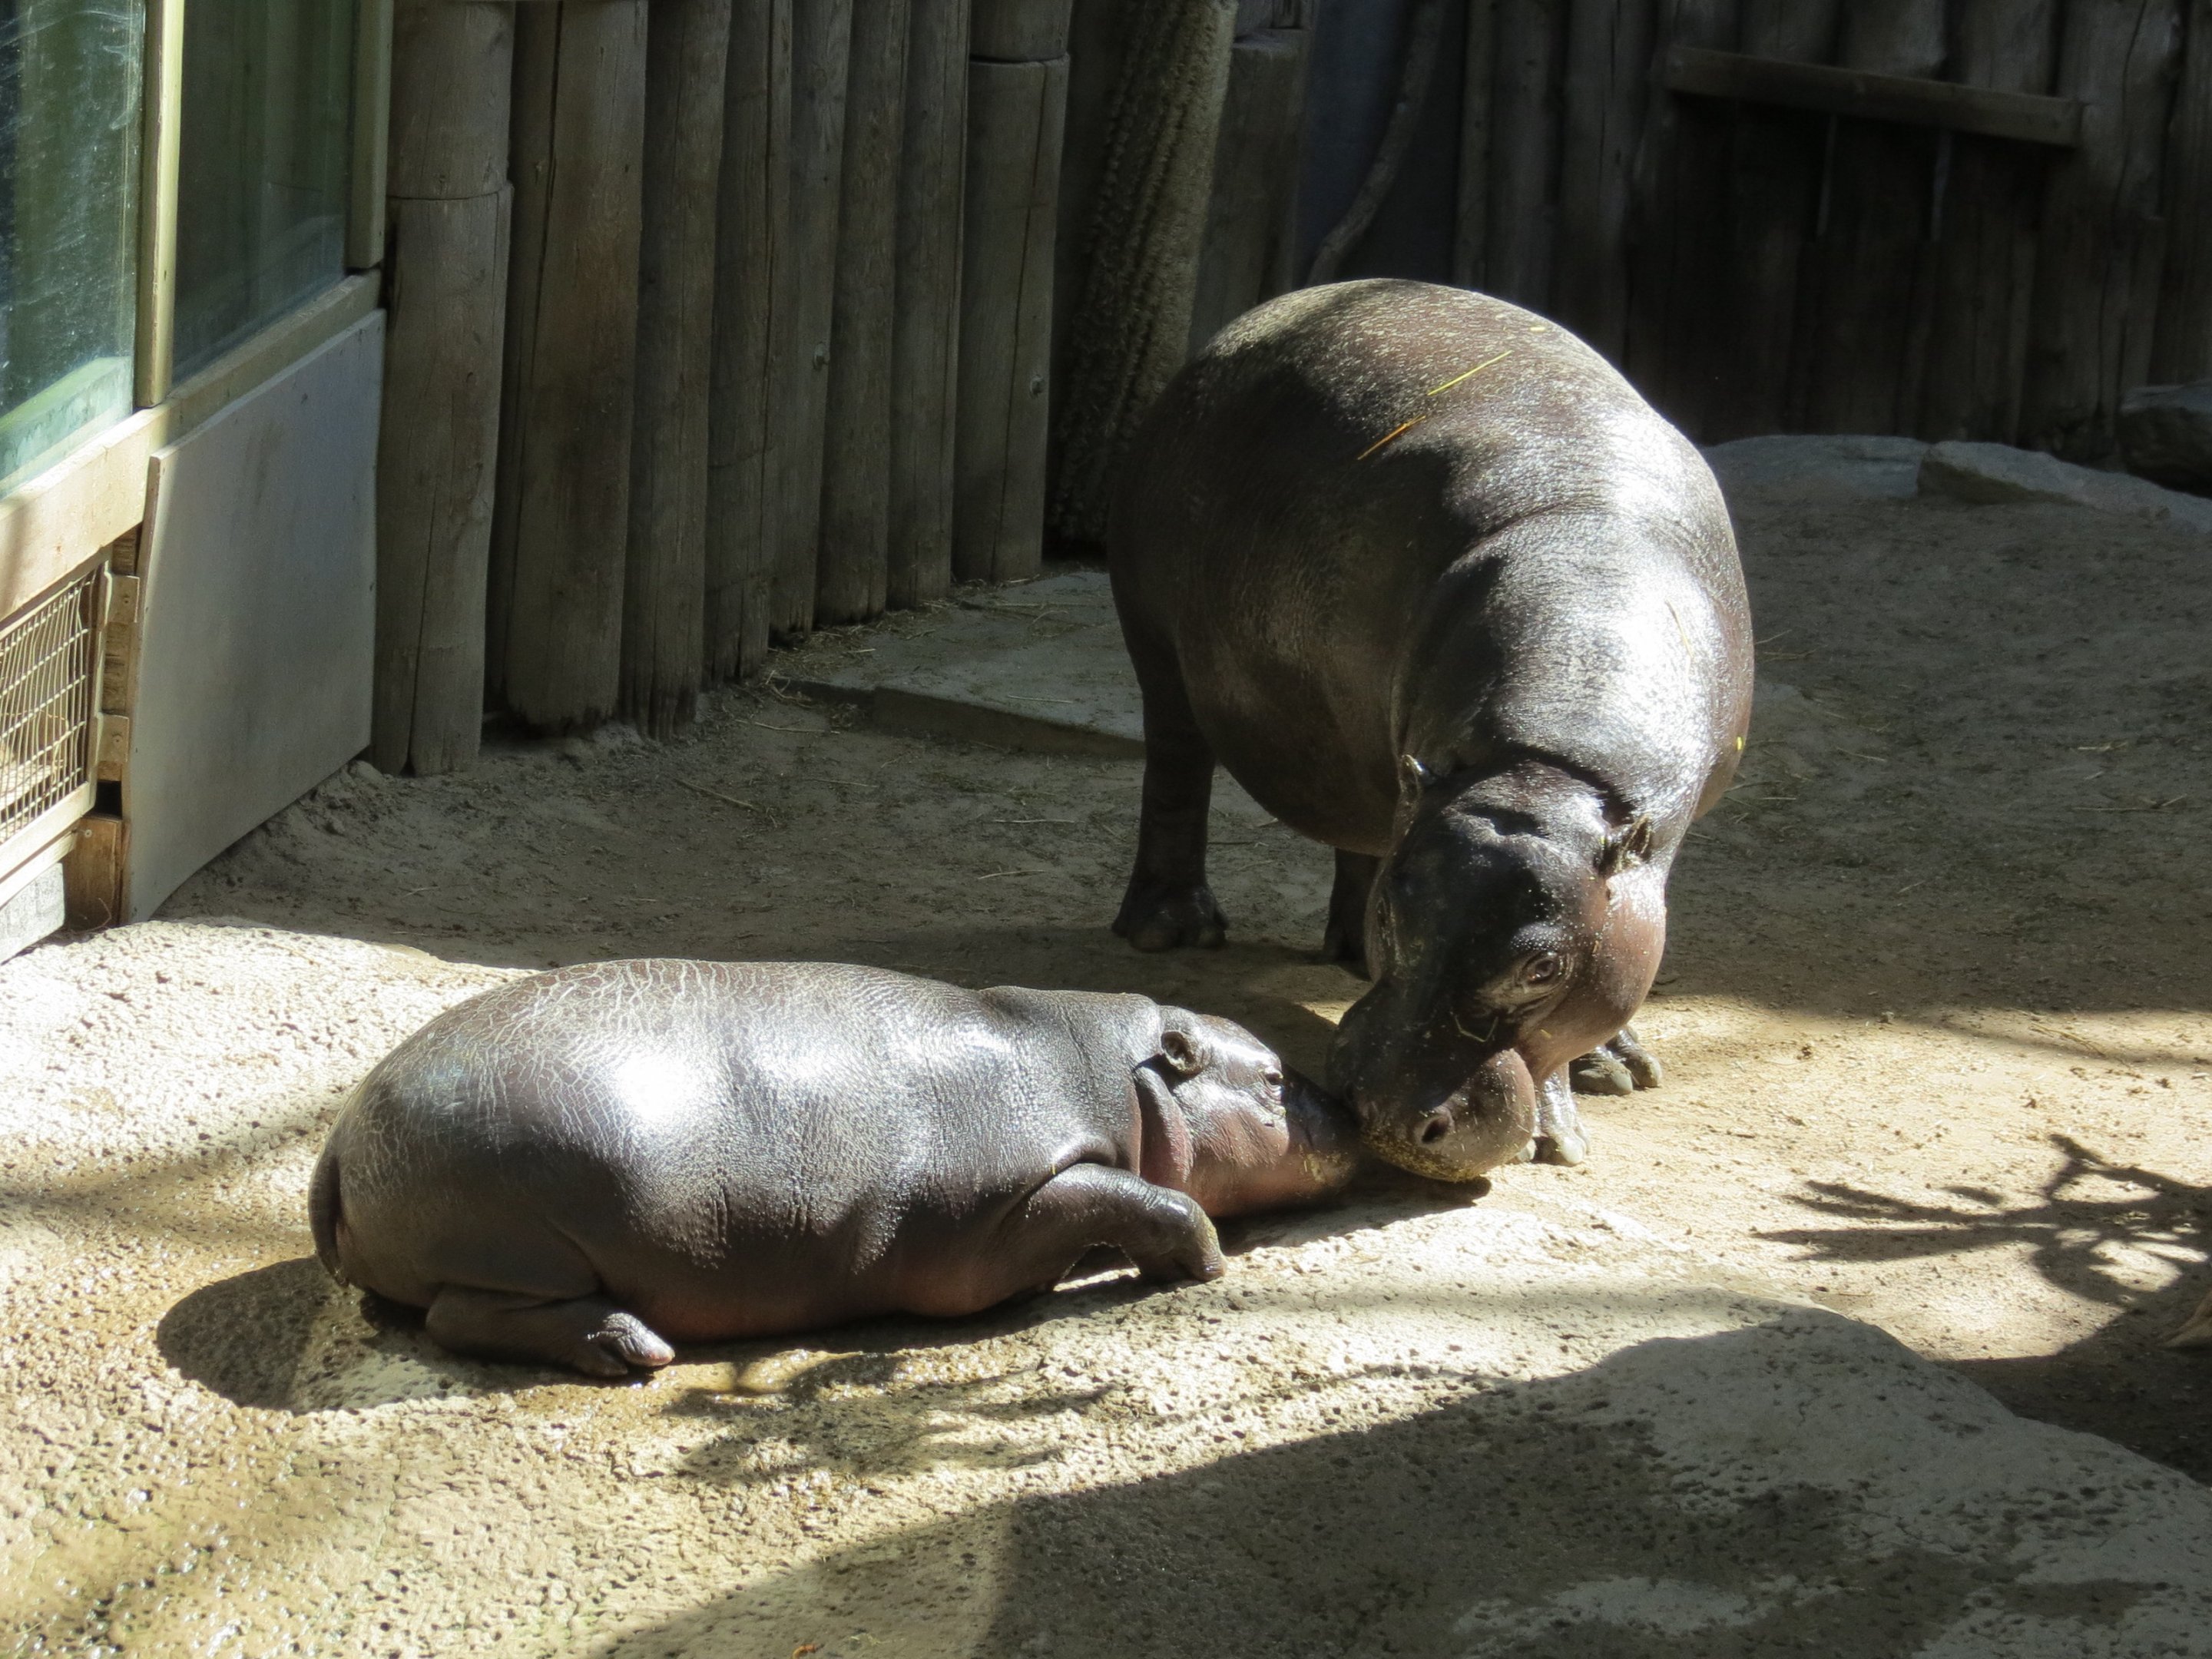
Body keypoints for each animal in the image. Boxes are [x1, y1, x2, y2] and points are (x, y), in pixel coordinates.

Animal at [309, 960, 1359, 1375]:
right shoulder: (1005, 1214)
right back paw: (634, 1348)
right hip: (521, 1245)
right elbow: (1135, 1195)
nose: (1355, 1105)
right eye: (1273, 1076)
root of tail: (336, 1137)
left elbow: (1133, 1193)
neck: (1110, 1067)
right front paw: (1204, 1261)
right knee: (458, 1318)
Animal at [1109, 279, 1752, 1180]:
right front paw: (1559, 1135)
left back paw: (1344, 951)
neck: (1545, 769)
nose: (1384, 1116)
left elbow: (1617, 949)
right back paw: (1172, 929)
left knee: (1357, 822)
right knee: (1177, 769)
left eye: (1544, 964)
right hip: (1157, 641)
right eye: (1399, 918)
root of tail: (1258, 317)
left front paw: (1617, 1068)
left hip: (1360, 746)